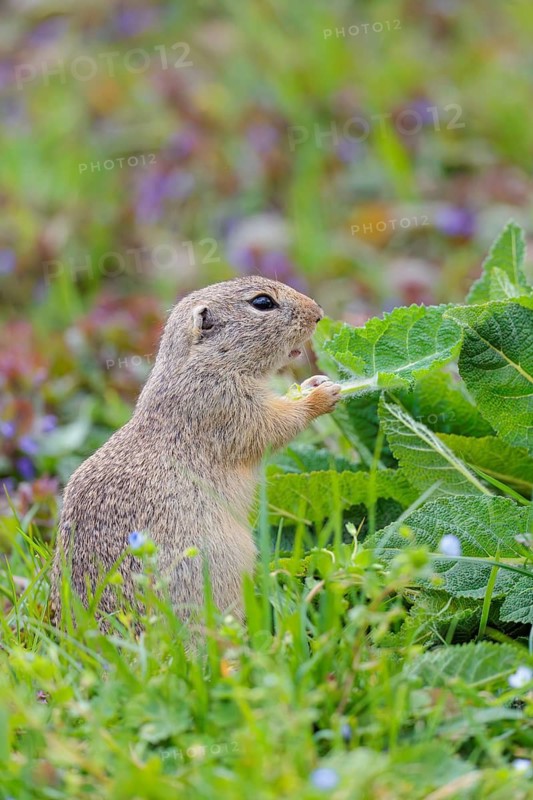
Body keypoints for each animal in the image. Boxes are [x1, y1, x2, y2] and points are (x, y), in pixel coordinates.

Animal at [50, 276, 341, 627]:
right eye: (262, 303)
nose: (319, 313)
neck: (206, 363)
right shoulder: (225, 405)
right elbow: (273, 426)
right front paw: (324, 395)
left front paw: (315, 383)